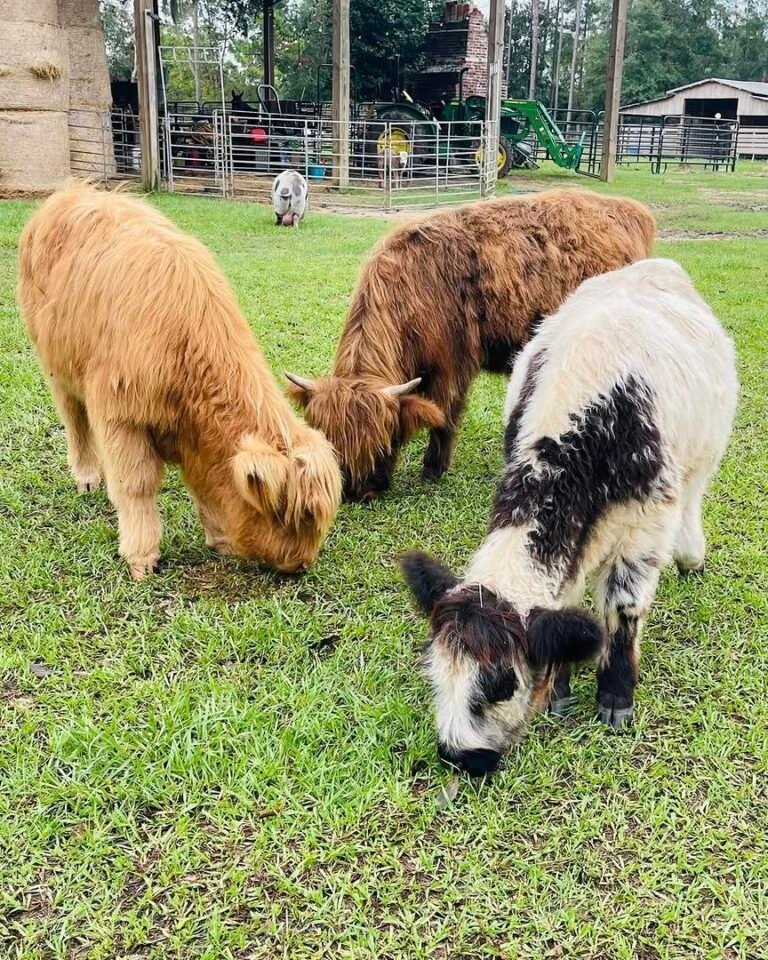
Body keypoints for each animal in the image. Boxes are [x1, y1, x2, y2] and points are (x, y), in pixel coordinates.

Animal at [18, 184, 341, 579]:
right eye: (297, 515)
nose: (301, 563)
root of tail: (69, 191)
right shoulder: (119, 414)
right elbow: (136, 484)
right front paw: (141, 557)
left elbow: (201, 484)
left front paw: (219, 537)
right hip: (56, 365)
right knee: (74, 420)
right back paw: (88, 477)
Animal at [285, 188, 656, 502]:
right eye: (331, 443)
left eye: (385, 442)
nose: (358, 492)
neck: (413, 288)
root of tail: (628, 209)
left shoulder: (453, 364)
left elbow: (445, 415)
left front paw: (432, 470)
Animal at [401, 258, 738, 776]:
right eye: (433, 671)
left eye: (501, 685)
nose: (460, 758)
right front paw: (559, 689)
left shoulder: (646, 524)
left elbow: (624, 607)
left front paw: (616, 696)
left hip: (704, 453)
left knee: (694, 500)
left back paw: (690, 558)